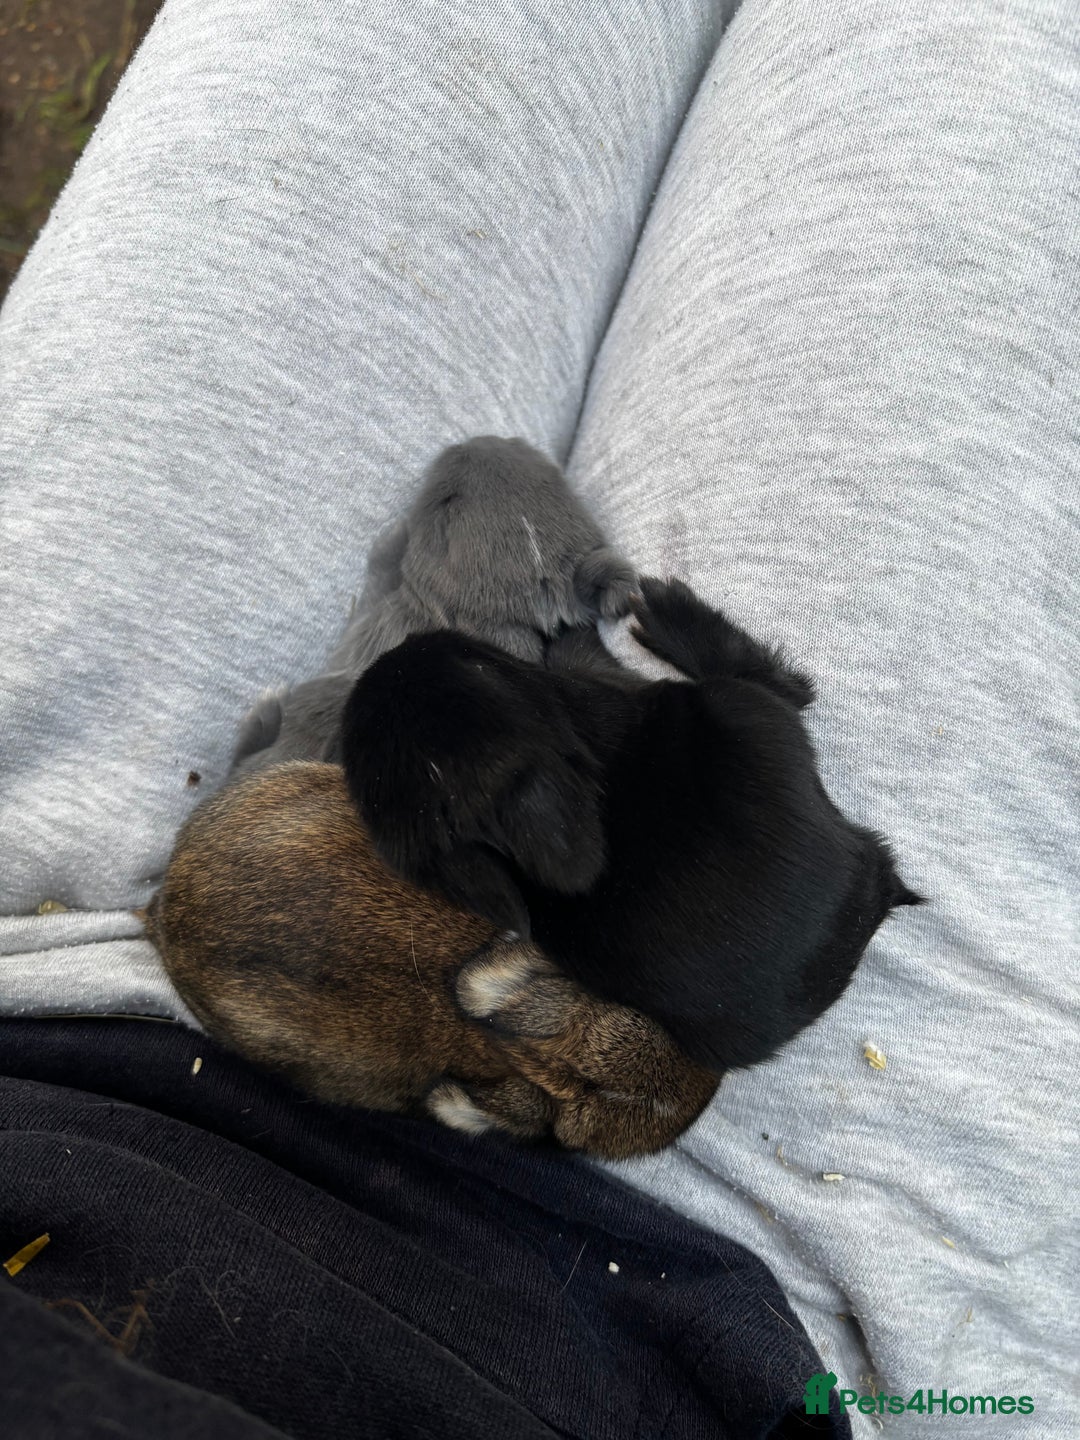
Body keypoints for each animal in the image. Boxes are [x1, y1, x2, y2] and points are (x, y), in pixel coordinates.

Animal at [231, 435, 637, 774]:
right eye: (552, 471)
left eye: (448, 502)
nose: (476, 439)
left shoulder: (371, 622)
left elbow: (379, 576)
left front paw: (394, 535)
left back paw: (264, 712)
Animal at [340, 577, 923, 1077]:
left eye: (474, 659)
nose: (400, 648)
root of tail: (865, 911)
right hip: (744, 710)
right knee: (779, 684)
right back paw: (666, 612)